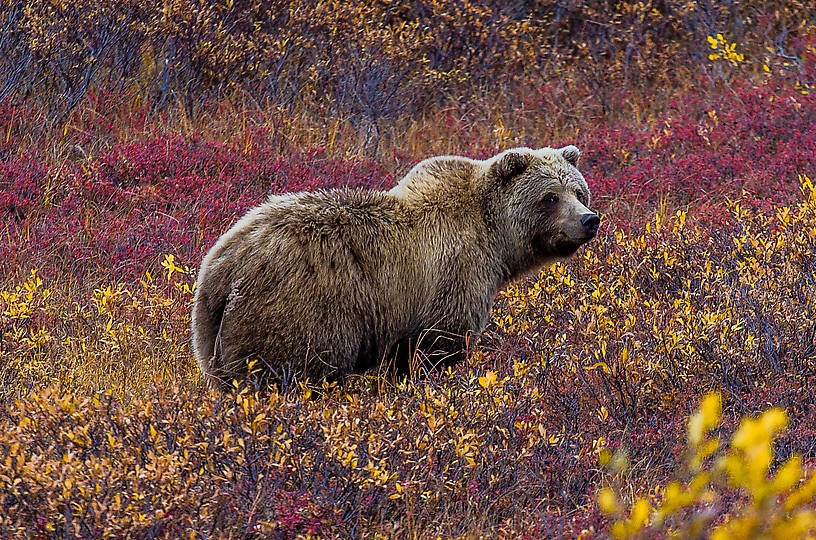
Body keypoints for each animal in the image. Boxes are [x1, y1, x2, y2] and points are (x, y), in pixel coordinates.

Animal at [191, 143, 600, 388]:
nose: (589, 219)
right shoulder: (454, 274)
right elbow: (440, 344)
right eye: (551, 196)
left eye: (579, 191)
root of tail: (223, 266)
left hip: (210, 334)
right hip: (297, 313)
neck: (495, 238)